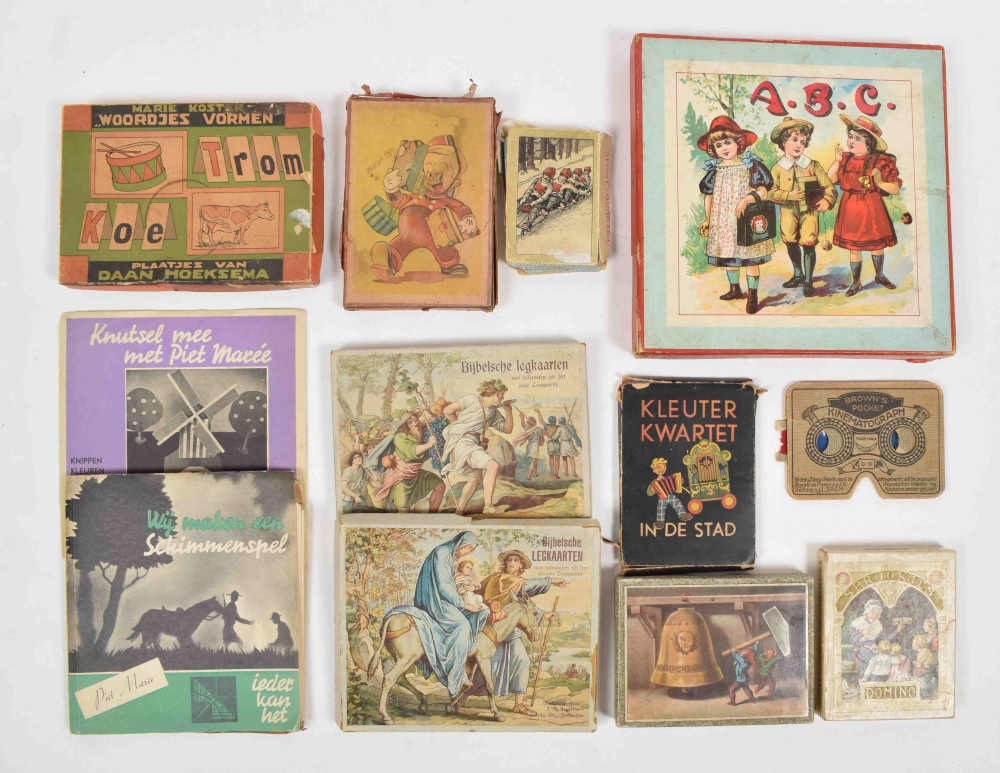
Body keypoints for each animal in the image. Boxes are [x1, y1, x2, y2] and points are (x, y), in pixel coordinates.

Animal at [368, 591, 541, 725]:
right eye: (534, 613)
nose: (536, 636)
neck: (492, 625)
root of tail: (391, 618)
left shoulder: (471, 661)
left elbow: (467, 684)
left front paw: (451, 706)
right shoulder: (483, 659)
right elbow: (489, 685)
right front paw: (497, 714)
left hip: (403, 659)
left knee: (400, 678)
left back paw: (423, 703)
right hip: (407, 659)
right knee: (389, 678)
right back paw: (385, 716)